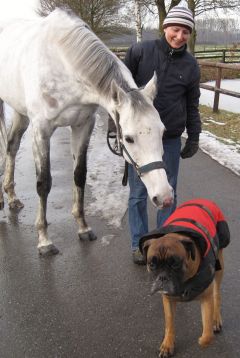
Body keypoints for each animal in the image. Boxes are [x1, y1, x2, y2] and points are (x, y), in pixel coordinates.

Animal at [0, 7, 172, 255]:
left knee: (12, 146)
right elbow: (43, 183)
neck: (62, 62)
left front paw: (83, 227)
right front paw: (44, 240)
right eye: (128, 138)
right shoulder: (41, 130)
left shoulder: (83, 126)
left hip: (20, 112)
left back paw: (12, 197)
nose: (165, 197)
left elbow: (79, 175)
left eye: (162, 132)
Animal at [140, 200, 230, 356]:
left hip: (220, 265)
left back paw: (216, 319)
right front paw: (167, 344)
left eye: (175, 263)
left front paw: (202, 340)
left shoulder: (206, 299)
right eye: (152, 264)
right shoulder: (168, 300)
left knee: (216, 294)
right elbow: (169, 323)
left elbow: (207, 335)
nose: (162, 277)